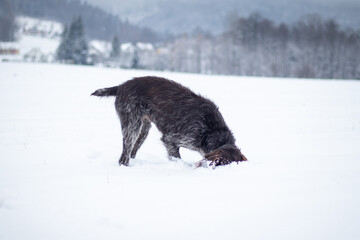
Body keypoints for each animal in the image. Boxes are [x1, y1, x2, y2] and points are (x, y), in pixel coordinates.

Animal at [91, 76, 246, 168]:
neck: (212, 130)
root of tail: (121, 86)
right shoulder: (172, 140)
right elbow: (177, 158)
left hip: (143, 129)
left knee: (133, 151)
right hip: (132, 126)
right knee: (124, 156)